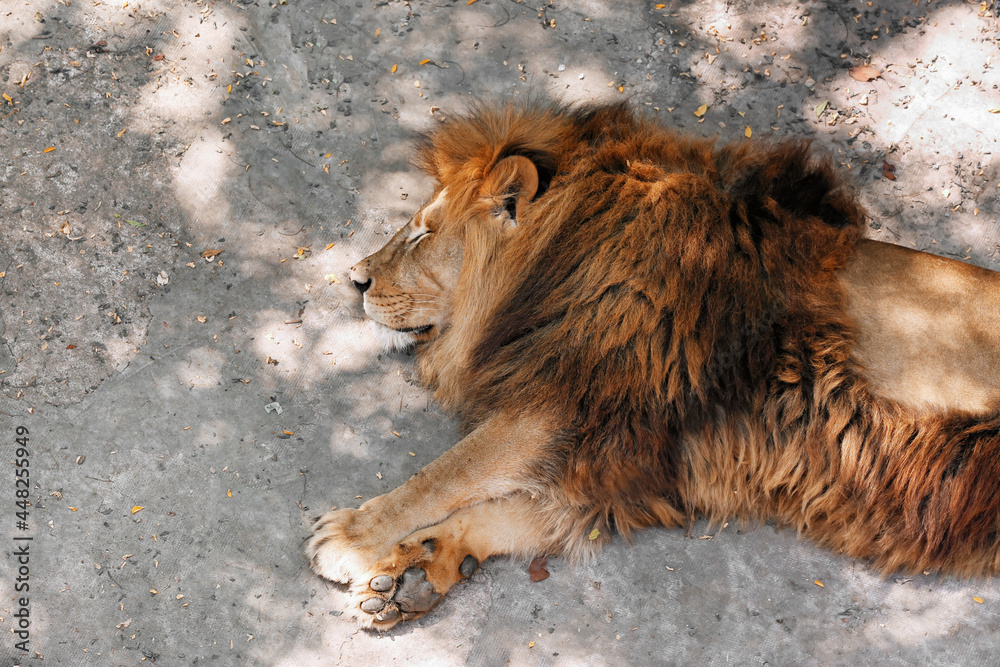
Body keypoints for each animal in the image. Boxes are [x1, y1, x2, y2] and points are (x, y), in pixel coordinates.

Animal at [307, 101, 1000, 629]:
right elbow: (518, 512)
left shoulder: (569, 399)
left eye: (424, 233)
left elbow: (450, 473)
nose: (355, 279)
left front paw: (351, 536)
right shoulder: (637, 458)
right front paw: (418, 567)